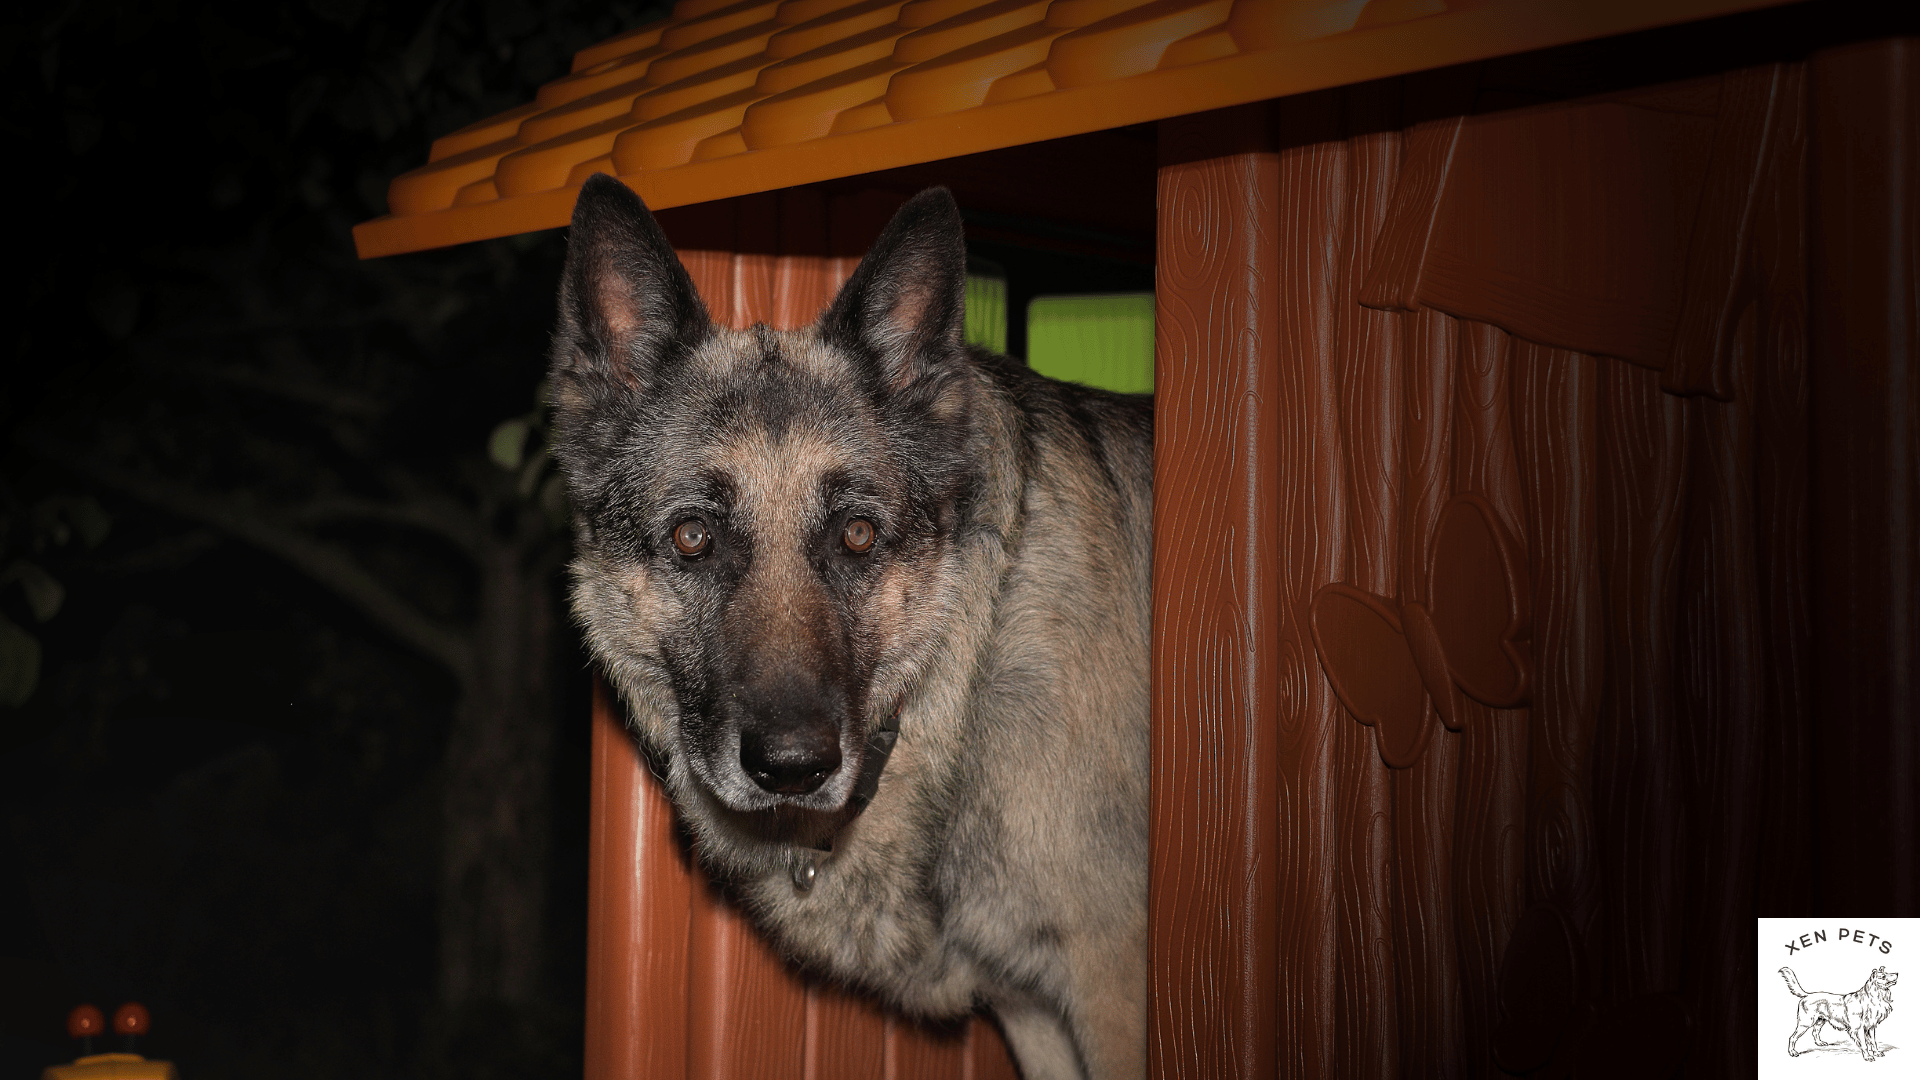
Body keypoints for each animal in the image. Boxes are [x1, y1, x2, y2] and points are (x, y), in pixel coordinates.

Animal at [552, 171, 1152, 1068]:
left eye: (858, 535)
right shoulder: (1036, 1013)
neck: (962, 687)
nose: (793, 769)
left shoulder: (1113, 997)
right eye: (693, 536)